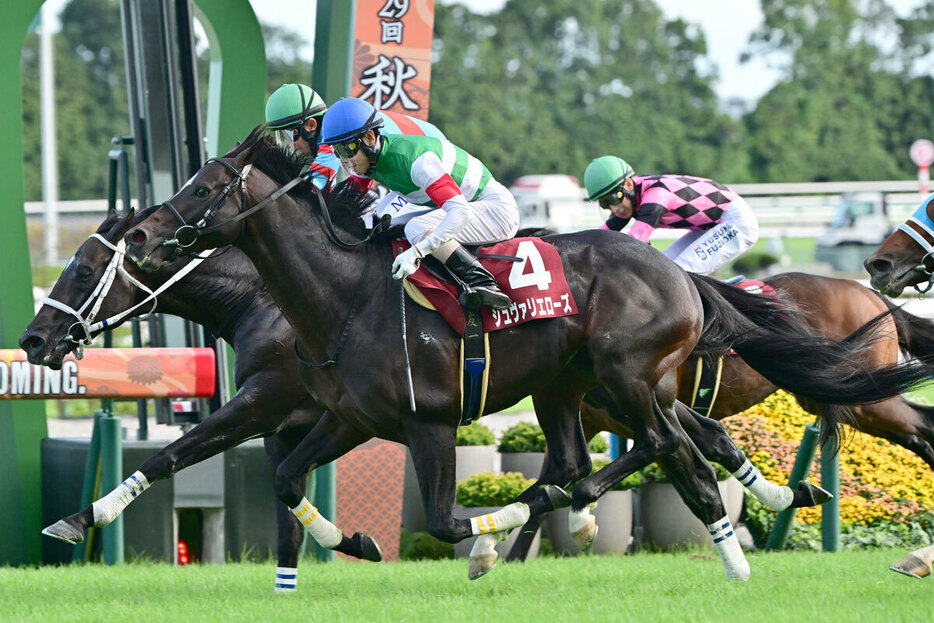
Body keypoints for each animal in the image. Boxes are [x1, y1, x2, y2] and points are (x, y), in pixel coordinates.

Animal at [120, 129, 932, 584]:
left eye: (204, 185)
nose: (138, 235)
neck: (345, 296)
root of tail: (681, 279)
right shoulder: (350, 417)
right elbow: (288, 476)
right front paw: (355, 539)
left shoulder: (428, 424)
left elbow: (446, 521)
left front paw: (489, 541)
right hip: (571, 386)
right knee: (624, 458)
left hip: (632, 378)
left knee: (666, 449)